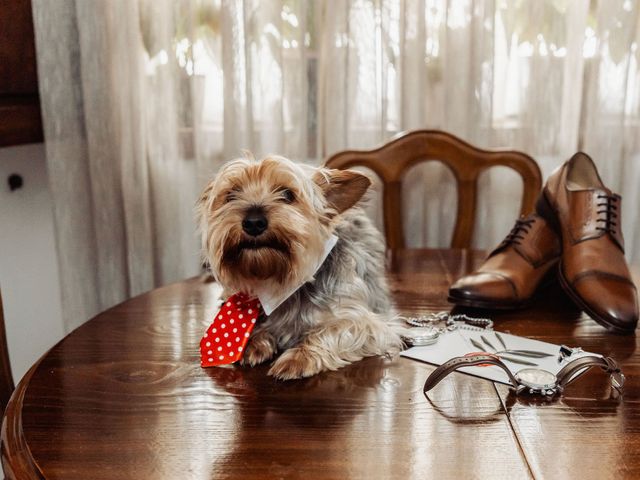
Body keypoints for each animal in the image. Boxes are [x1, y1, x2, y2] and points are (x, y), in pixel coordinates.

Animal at [198, 156, 402, 380]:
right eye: (231, 195)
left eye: (288, 194)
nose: (253, 222)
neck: (276, 280)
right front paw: (252, 343)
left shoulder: (367, 324)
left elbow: (339, 328)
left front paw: (298, 357)